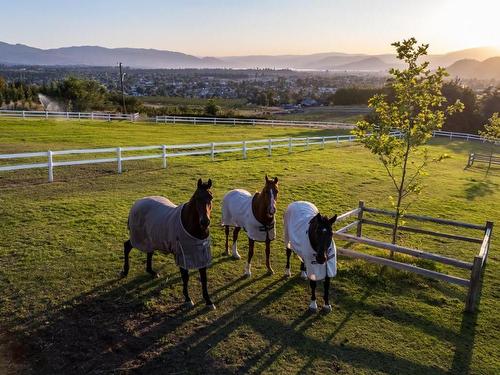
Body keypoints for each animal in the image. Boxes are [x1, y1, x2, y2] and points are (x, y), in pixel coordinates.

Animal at [122, 180, 216, 312]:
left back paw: (151, 272)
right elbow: (185, 277)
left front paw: (208, 301)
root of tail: (137, 202)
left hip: (150, 238)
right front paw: (188, 299)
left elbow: (204, 279)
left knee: (149, 252)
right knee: (127, 246)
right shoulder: (182, 255)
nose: (205, 222)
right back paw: (125, 271)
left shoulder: (201, 254)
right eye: (197, 197)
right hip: (138, 237)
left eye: (211, 197)